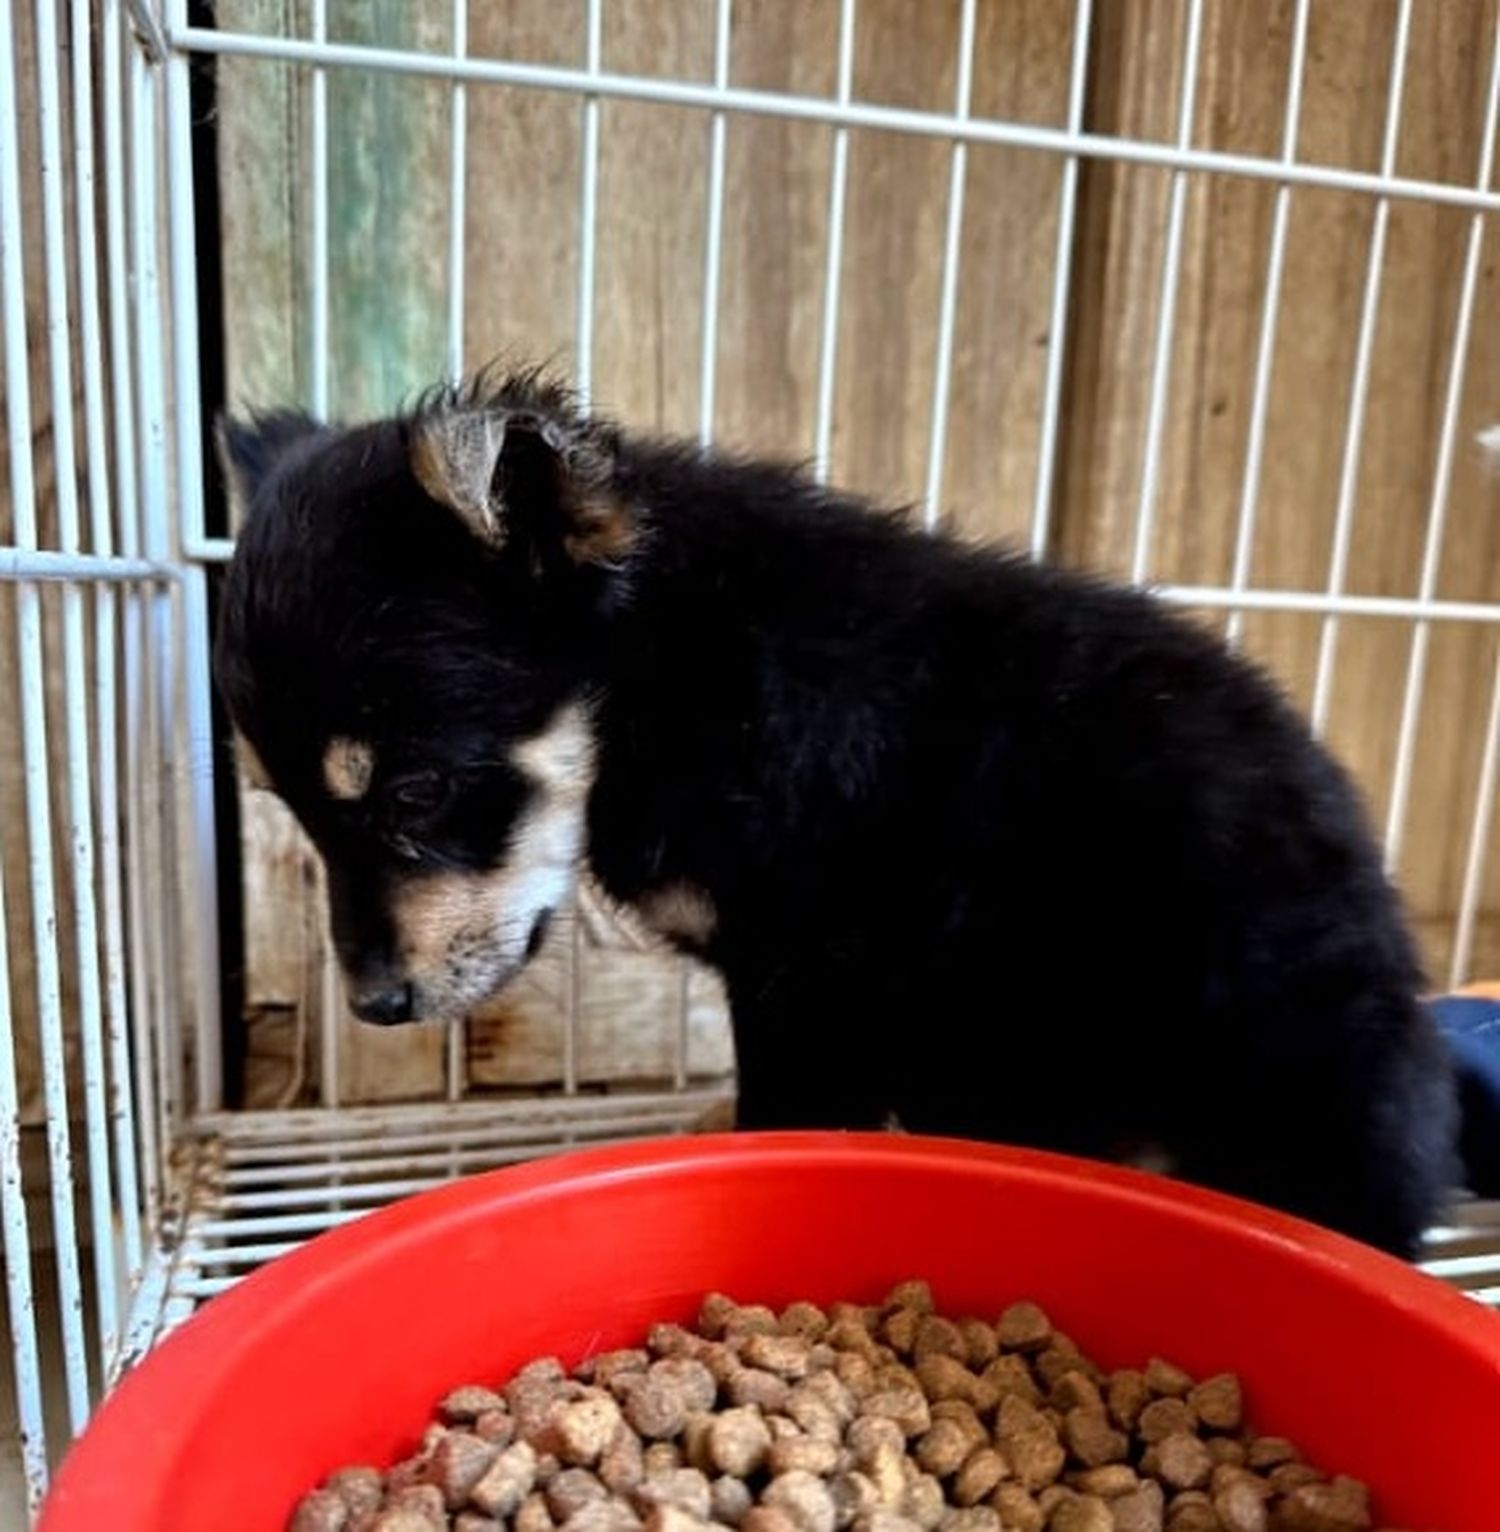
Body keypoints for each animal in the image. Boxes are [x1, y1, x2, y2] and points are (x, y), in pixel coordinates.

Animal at [217, 370, 1458, 1256]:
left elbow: (786, 1110)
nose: (374, 1003)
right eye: (289, 808)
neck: (670, 672)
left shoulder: (811, 973)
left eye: (416, 789)